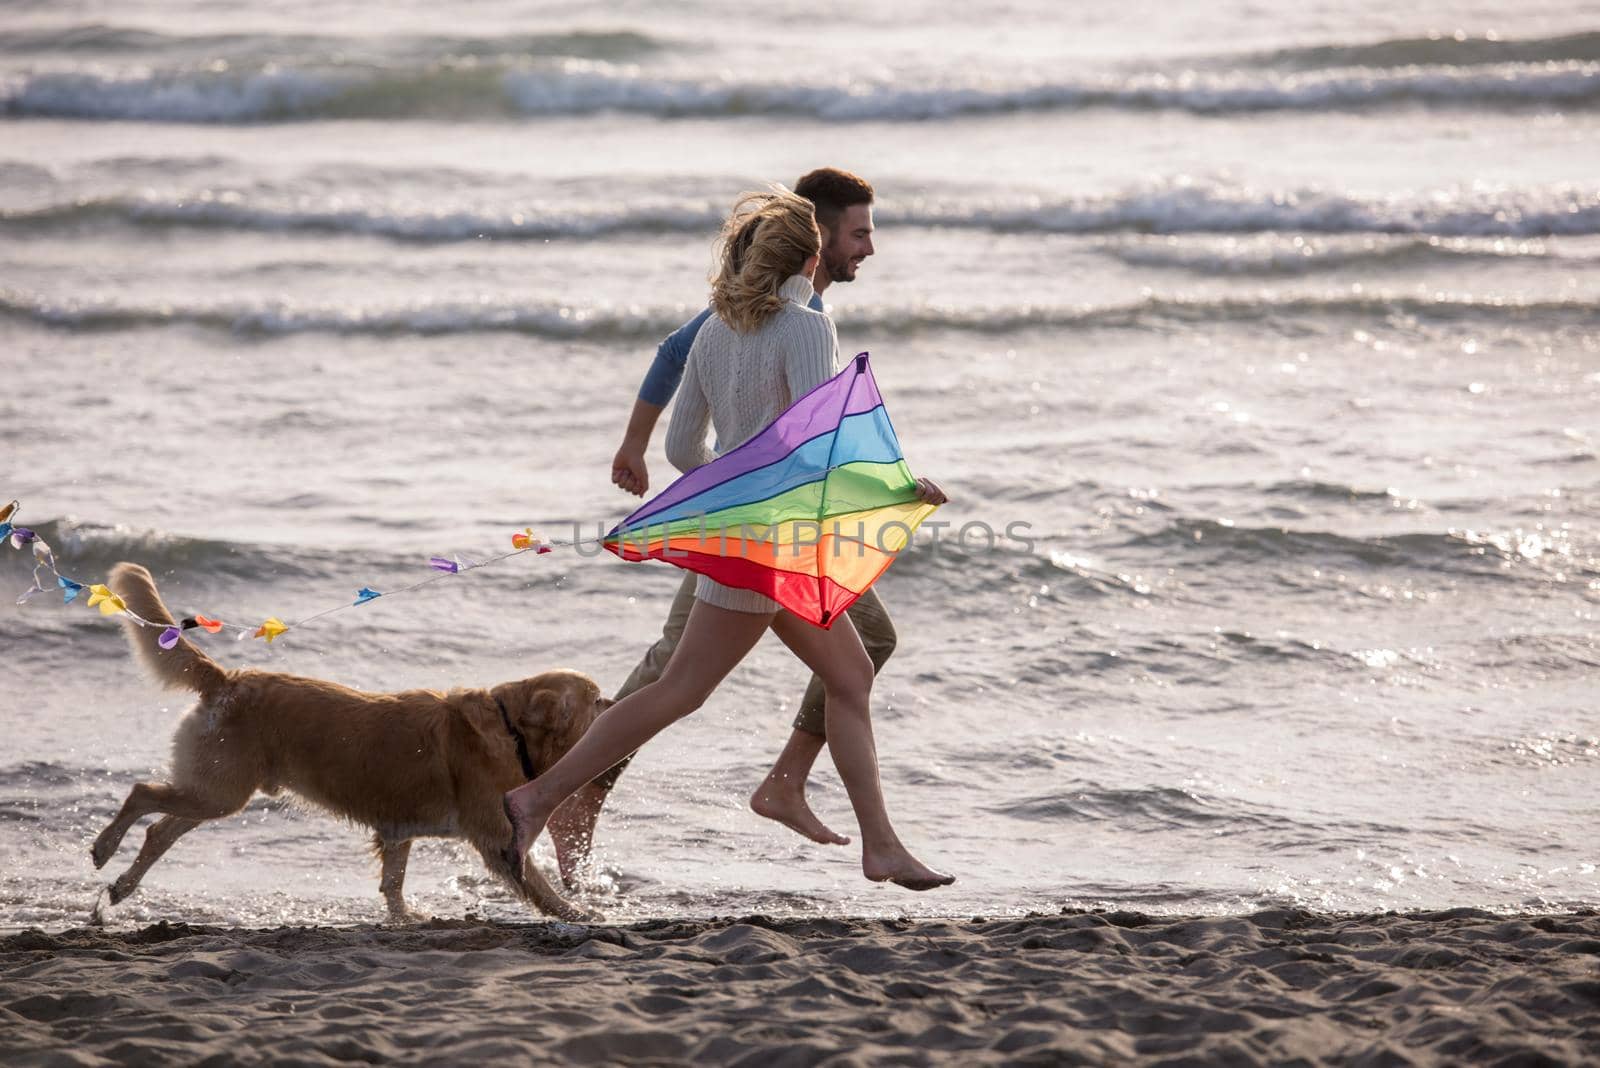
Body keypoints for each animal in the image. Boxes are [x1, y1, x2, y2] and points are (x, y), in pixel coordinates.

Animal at [93, 562, 604, 920]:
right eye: (595, 699)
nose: (614, 702)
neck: (509, 727)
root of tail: (227, 679)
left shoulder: (398, 829)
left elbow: (393, 883)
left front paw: (403, 919)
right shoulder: (497, 839)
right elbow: (540, 887)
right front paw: (577, 913)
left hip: (214, 789)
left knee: (160, 829)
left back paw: (121, 886)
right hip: (219, 791)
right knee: (142, 795)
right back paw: (103, 848)